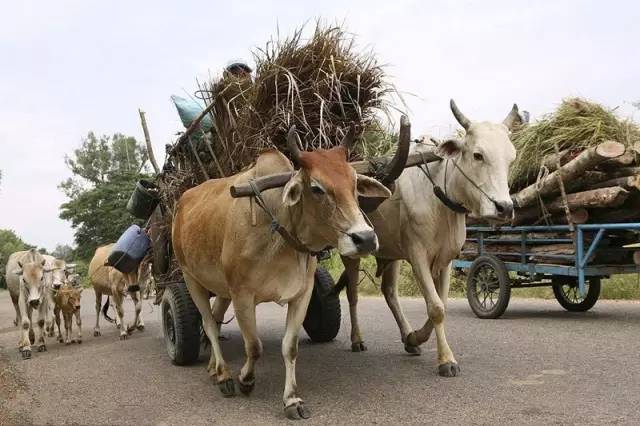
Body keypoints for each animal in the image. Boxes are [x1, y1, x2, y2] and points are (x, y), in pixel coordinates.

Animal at [171, 127, 390, 420]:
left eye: (354, 184)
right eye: (316, 188)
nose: (365, 238)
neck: (279, 231)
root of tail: (182, 200)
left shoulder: (301, 295)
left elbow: (290, 346)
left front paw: (292, 400)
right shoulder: (242, 296)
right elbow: (254, 346)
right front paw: (245, 380)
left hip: (220, 287)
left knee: (215, 321)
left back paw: (213, 368)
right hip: (189, 277)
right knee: (207, 322)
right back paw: (224, 375)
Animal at [338, 100, 516, 376]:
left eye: (511, 158)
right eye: (478, 155)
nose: (504, 208)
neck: (440, 199)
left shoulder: (445, 259)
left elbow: (440, 304)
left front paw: (416, 337)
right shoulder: (418, 256)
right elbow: (436, 307)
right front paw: (446, 360)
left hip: (391, 253)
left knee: (390, 293)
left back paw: (408, 338)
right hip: (352, 253)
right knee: (353, 295)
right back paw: (357, 339)